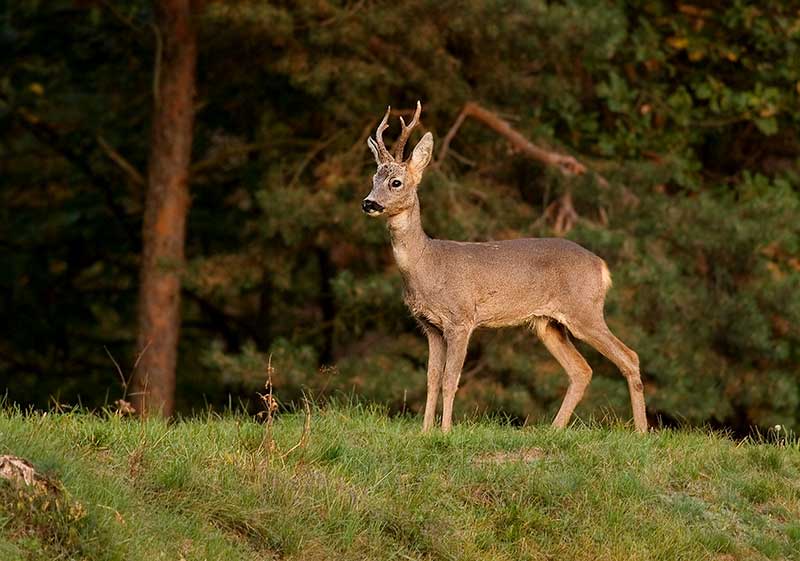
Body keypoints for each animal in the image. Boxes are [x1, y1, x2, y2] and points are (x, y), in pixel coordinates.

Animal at [362, 100, 648, 434]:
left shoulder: (461, 318)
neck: (426, 263)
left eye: (396, 182)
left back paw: (641, 432)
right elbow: (431, 380)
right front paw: (424, 433)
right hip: (547, 323)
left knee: (630, 356)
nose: (369, 203)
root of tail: (601, 266)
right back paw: (553, 429)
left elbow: (450, 379)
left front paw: (444, 432)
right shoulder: (429, 325)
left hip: (585, 310)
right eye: (372, 180)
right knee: (582, 369)